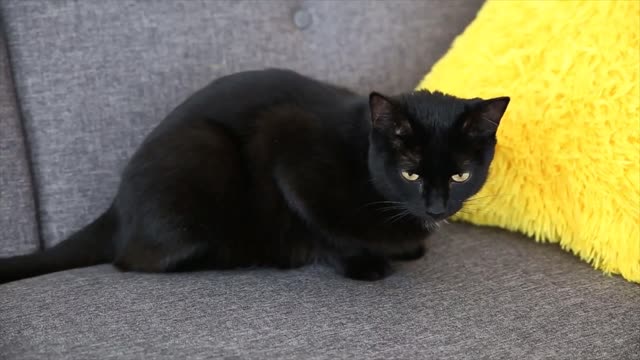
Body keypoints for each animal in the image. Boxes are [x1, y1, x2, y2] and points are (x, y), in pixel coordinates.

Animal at [0, 69, 510, 284]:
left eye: (461, 175)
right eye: (410, 172)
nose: (436, 206)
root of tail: (116, 206)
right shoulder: (285, 146)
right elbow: (324, 228)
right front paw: (363, 263)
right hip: (203, 148)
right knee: (135, 260)